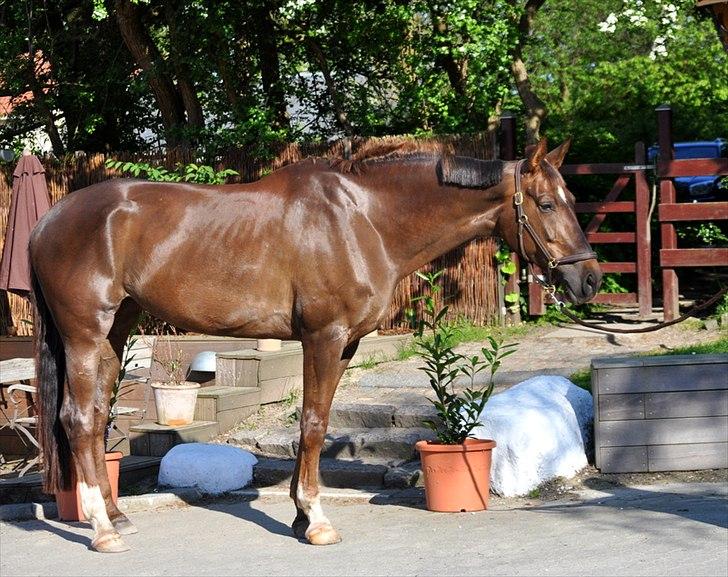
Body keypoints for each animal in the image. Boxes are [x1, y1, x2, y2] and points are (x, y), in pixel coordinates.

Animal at [29, 137, 604, 552]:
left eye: (572, 200)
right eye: (546, 204)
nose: (590, 280)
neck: (364, 220)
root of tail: (47, 220)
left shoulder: (343, 345)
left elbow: (317, 419)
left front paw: (298, 514)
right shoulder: (323, 338)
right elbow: (311, 424)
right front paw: (317, 520)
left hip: (115, 331)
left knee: (97, 416)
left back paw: (117, 514)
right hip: (85, 333)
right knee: (77, 420)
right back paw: (103, 531)